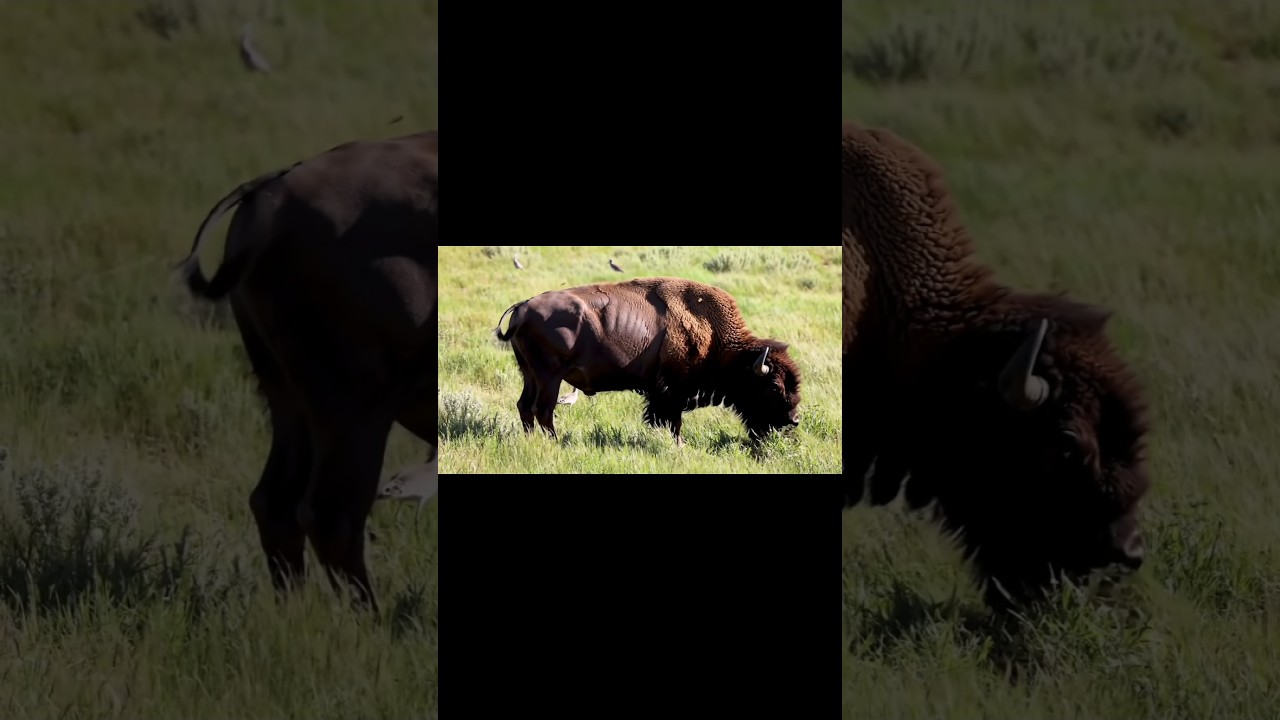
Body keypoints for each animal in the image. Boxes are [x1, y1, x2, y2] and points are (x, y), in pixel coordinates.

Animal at [175, 130, 438, 611]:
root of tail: (271, 196)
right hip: (356, 409)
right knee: (332, 515)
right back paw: (369, 622)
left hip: (288, 397)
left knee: (275, 504)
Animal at [494, 277, 802, 445]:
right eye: (774, 386)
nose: (794, 419)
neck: (718, 339)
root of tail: (522, 307)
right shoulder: (672, 392)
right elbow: (673, 422)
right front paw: (680, 446)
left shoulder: (660, 393)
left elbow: (662, 419)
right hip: (550, 376)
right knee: (543, 409)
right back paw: (555, 443)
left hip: (529, 373)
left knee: (525, 406)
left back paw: (533, 440)